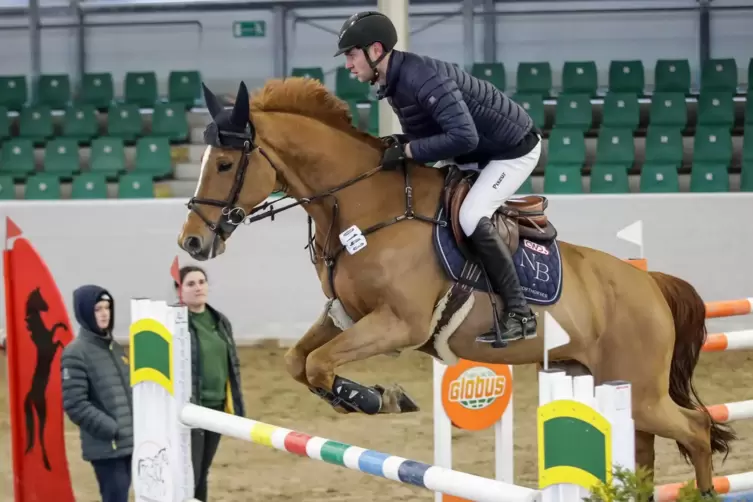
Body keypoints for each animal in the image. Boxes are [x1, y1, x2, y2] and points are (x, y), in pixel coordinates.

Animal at [176, 76, 736, 496]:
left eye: (224, 163)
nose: (192, 243)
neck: (364, 206)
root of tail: (650, 284)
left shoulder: (399, 325)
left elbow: (318, 363)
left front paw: (378, 398)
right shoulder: (346, 314)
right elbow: (301, 362)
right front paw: (365, 396)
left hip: (638, 390)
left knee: (697, 429)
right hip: (606, 382)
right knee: (648, 449)